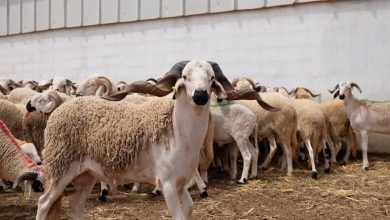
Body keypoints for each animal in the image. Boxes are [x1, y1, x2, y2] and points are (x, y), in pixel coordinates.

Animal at [35, 60, 276, 220]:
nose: (200, 95)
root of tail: (61, 108)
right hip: (61, 168)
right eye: (185, 77)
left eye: (212, 78)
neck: (178, 132)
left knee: (75, 206)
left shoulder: (181, 183)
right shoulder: (168, 184)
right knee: (43, 203)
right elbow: (178, 216)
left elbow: (189, 209)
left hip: (86, 175)